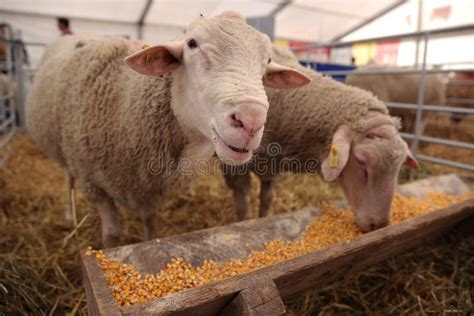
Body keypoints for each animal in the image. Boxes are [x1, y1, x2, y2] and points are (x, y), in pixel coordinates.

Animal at [25, 11, 312, 247]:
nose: (251, 120)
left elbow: (150, 223)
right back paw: (68, 212)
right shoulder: (94, 184)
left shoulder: (149, 188)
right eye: (192, 44)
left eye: (268, 61)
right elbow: (112, 235)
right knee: (68, 177)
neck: (122, 104)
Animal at [222, 45, 418, 232]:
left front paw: (261, 218)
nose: (378, 225)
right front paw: (241, 223)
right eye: (361, 161)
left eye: (399, 167)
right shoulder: (234, 165)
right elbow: (243, 202)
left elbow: (266, 199)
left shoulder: (271, 165)